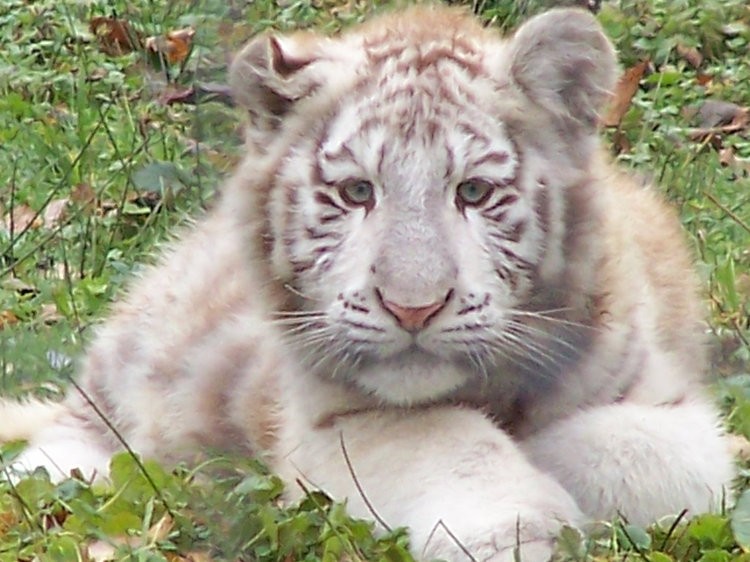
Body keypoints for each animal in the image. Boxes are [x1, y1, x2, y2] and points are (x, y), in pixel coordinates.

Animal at [0, 5, 734, 561]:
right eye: (357, 192)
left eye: (473, 192)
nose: (412, 309)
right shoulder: (327, 421)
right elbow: (443, 437)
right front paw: (515, 527)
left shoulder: (667, 405)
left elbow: (645, 448)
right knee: (71, 436)